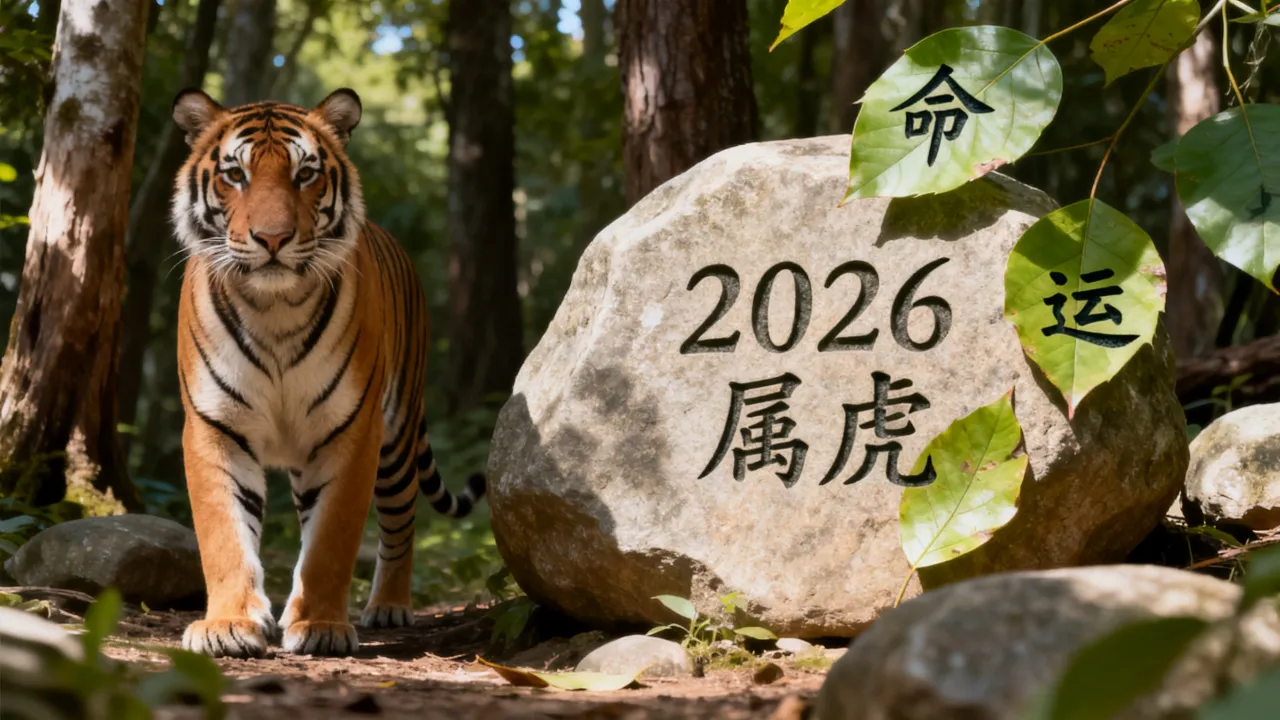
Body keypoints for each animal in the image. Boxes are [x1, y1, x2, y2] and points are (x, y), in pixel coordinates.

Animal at [169, 87, 485, 658]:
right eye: (235, 175)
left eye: (305, 174)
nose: (272, 238)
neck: (273, 310)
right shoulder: (214, 426)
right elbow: (224, 534)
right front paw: (229, 625)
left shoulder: (353, 430)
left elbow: (331, 540)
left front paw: (319, 626)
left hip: (396, 441)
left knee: (400, 525)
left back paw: (388, 605)